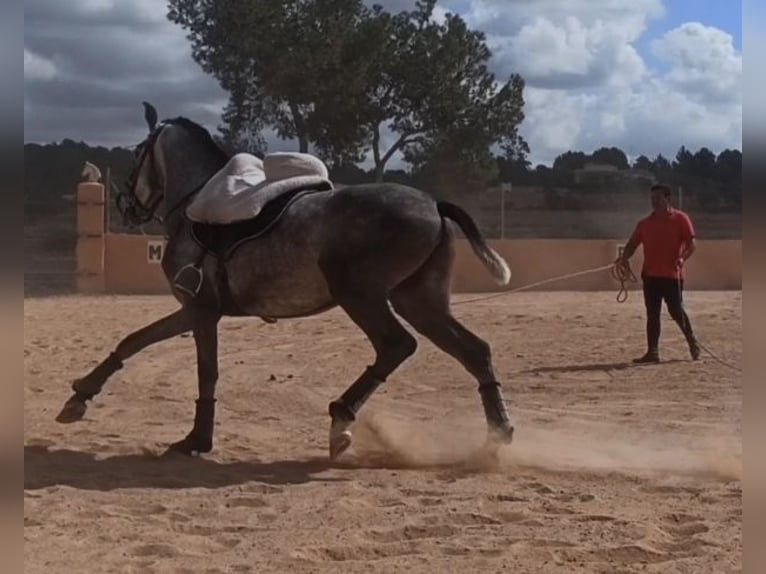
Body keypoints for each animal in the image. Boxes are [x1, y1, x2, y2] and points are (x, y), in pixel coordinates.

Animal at [57, 102, 520, 464]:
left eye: (139, 152)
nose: (127, 205)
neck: (194, 208)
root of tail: (434, 204)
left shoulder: (200, 311)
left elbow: (203, 371)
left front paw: (195, 439)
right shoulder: (194, 311)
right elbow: (134, 341)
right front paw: (79, 396)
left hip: (361, 295)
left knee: (396, 346)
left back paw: (340, 419)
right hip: (419, 301)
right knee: (475, 351)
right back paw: (498, 435)